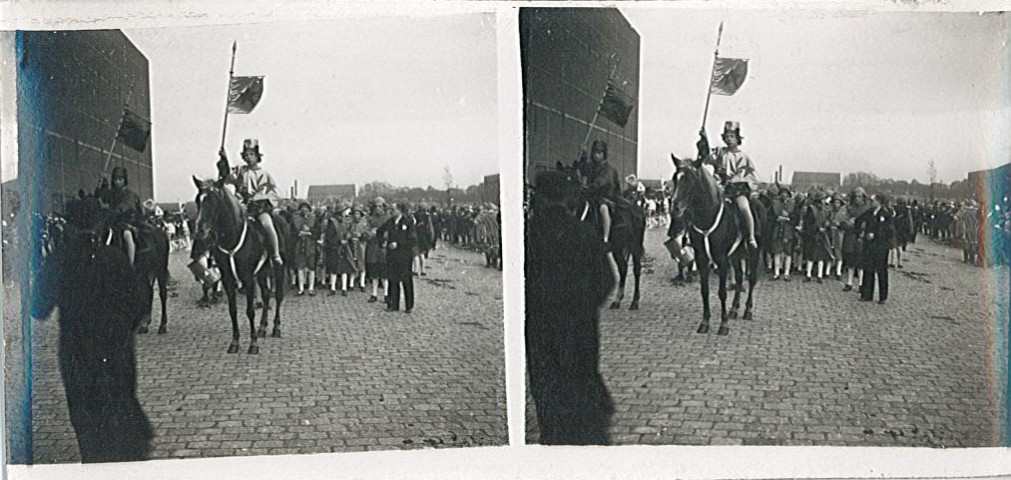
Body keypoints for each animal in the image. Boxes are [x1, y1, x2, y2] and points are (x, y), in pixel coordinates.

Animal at [191, 178, 291, 355]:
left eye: (214, 200)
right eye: (198, 200)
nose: (200, 231)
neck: (232, 237)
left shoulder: (248, 278)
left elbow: (250, 311)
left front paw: (253, 344)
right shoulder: (228, 279)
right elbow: (233, 310)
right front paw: (235, 342)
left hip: (279, 269)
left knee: (278, 296)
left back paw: (276, 328)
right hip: (262, 271)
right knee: (266, 295)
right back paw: (262, 328)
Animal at [562, 161, 647, 311]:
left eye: (573, 182)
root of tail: (638, 209)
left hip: (635, 246)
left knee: (636, 269)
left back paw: (634, 302)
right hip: (617, 248)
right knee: (623, 268)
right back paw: (617, 300)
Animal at [671, 155, 764, 335]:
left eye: (690, 180)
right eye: (675, 178)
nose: (675, 208)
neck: (708, 216)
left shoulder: (721, 260)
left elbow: (722, 292)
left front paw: (723, 325)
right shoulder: (702, 258)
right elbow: (705, 291)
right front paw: (705, 322)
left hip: (754, 252)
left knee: (751, 279)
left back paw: (747, 311)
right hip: (736, 255)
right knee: (740, 277)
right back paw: (734, 309)